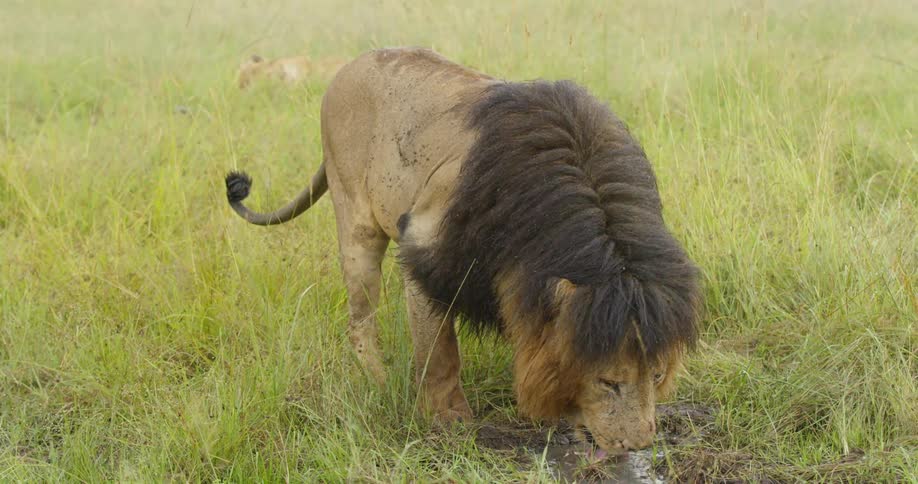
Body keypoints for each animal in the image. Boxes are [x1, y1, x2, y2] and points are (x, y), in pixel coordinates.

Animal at [223, 47, 701, 452]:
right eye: (608, 382)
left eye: (657, 374)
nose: (638, 445)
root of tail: (349, 65)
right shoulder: (422, 246)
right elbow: (439, 352)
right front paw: (449, 421)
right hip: (356, 222)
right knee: (359, 321)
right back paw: (380, 383)